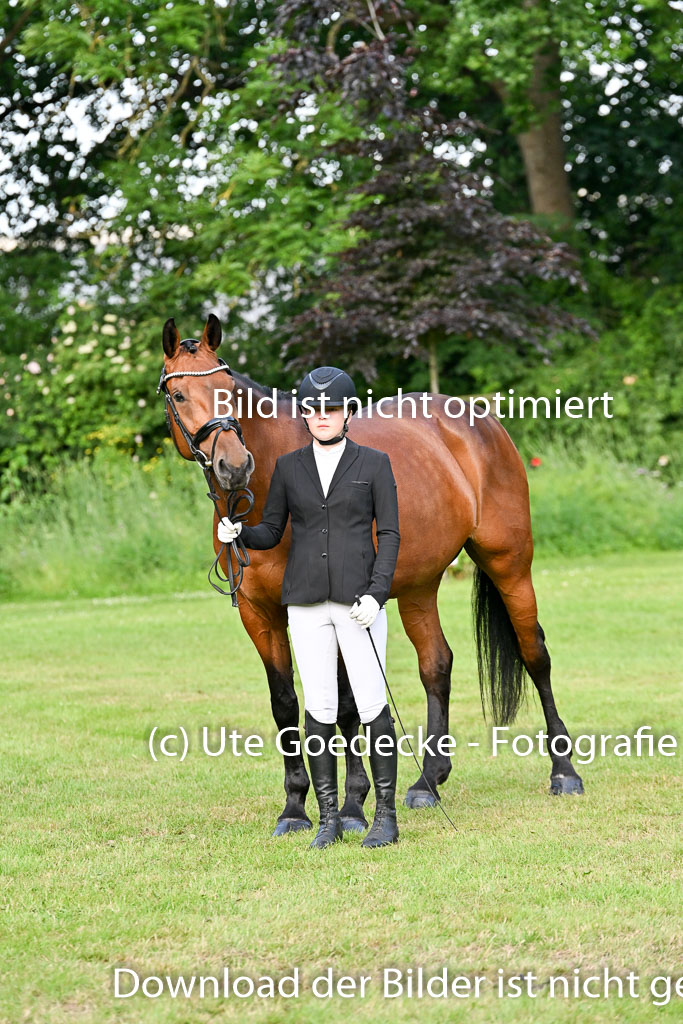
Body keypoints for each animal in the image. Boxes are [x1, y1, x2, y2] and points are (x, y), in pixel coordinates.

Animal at [159, 314, 584, 835]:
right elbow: (287, 703)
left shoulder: (337, 608)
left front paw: (351, 808)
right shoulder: (260, 615)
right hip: (419, 585)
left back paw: (564, 772)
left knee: (534, 654)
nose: (234, 466)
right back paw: (428, 781)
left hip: (509, 563)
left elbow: (345, 705)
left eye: (228, 391)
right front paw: (295, 809)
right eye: (179, 395)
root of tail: (477, 419)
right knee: (436, 664)